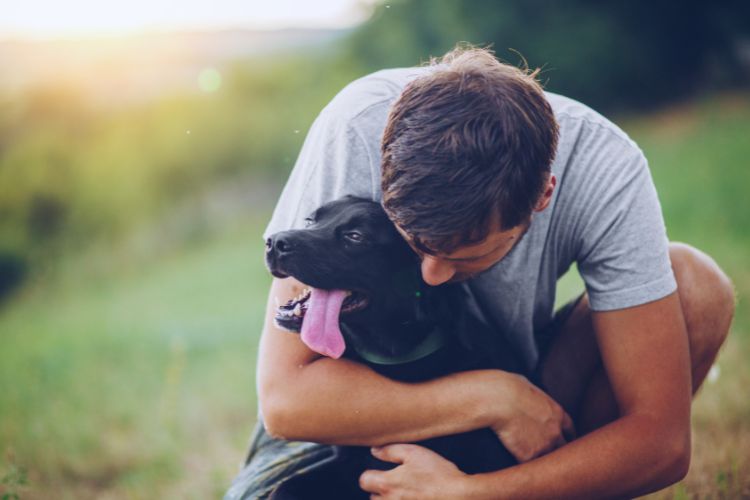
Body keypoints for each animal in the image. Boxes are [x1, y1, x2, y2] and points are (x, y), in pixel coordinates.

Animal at [264, 197, 528, 498]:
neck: (397, 358)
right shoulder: (350, 466)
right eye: (311, 221)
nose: (274, 242)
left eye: (355, 237)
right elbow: (285, 487)